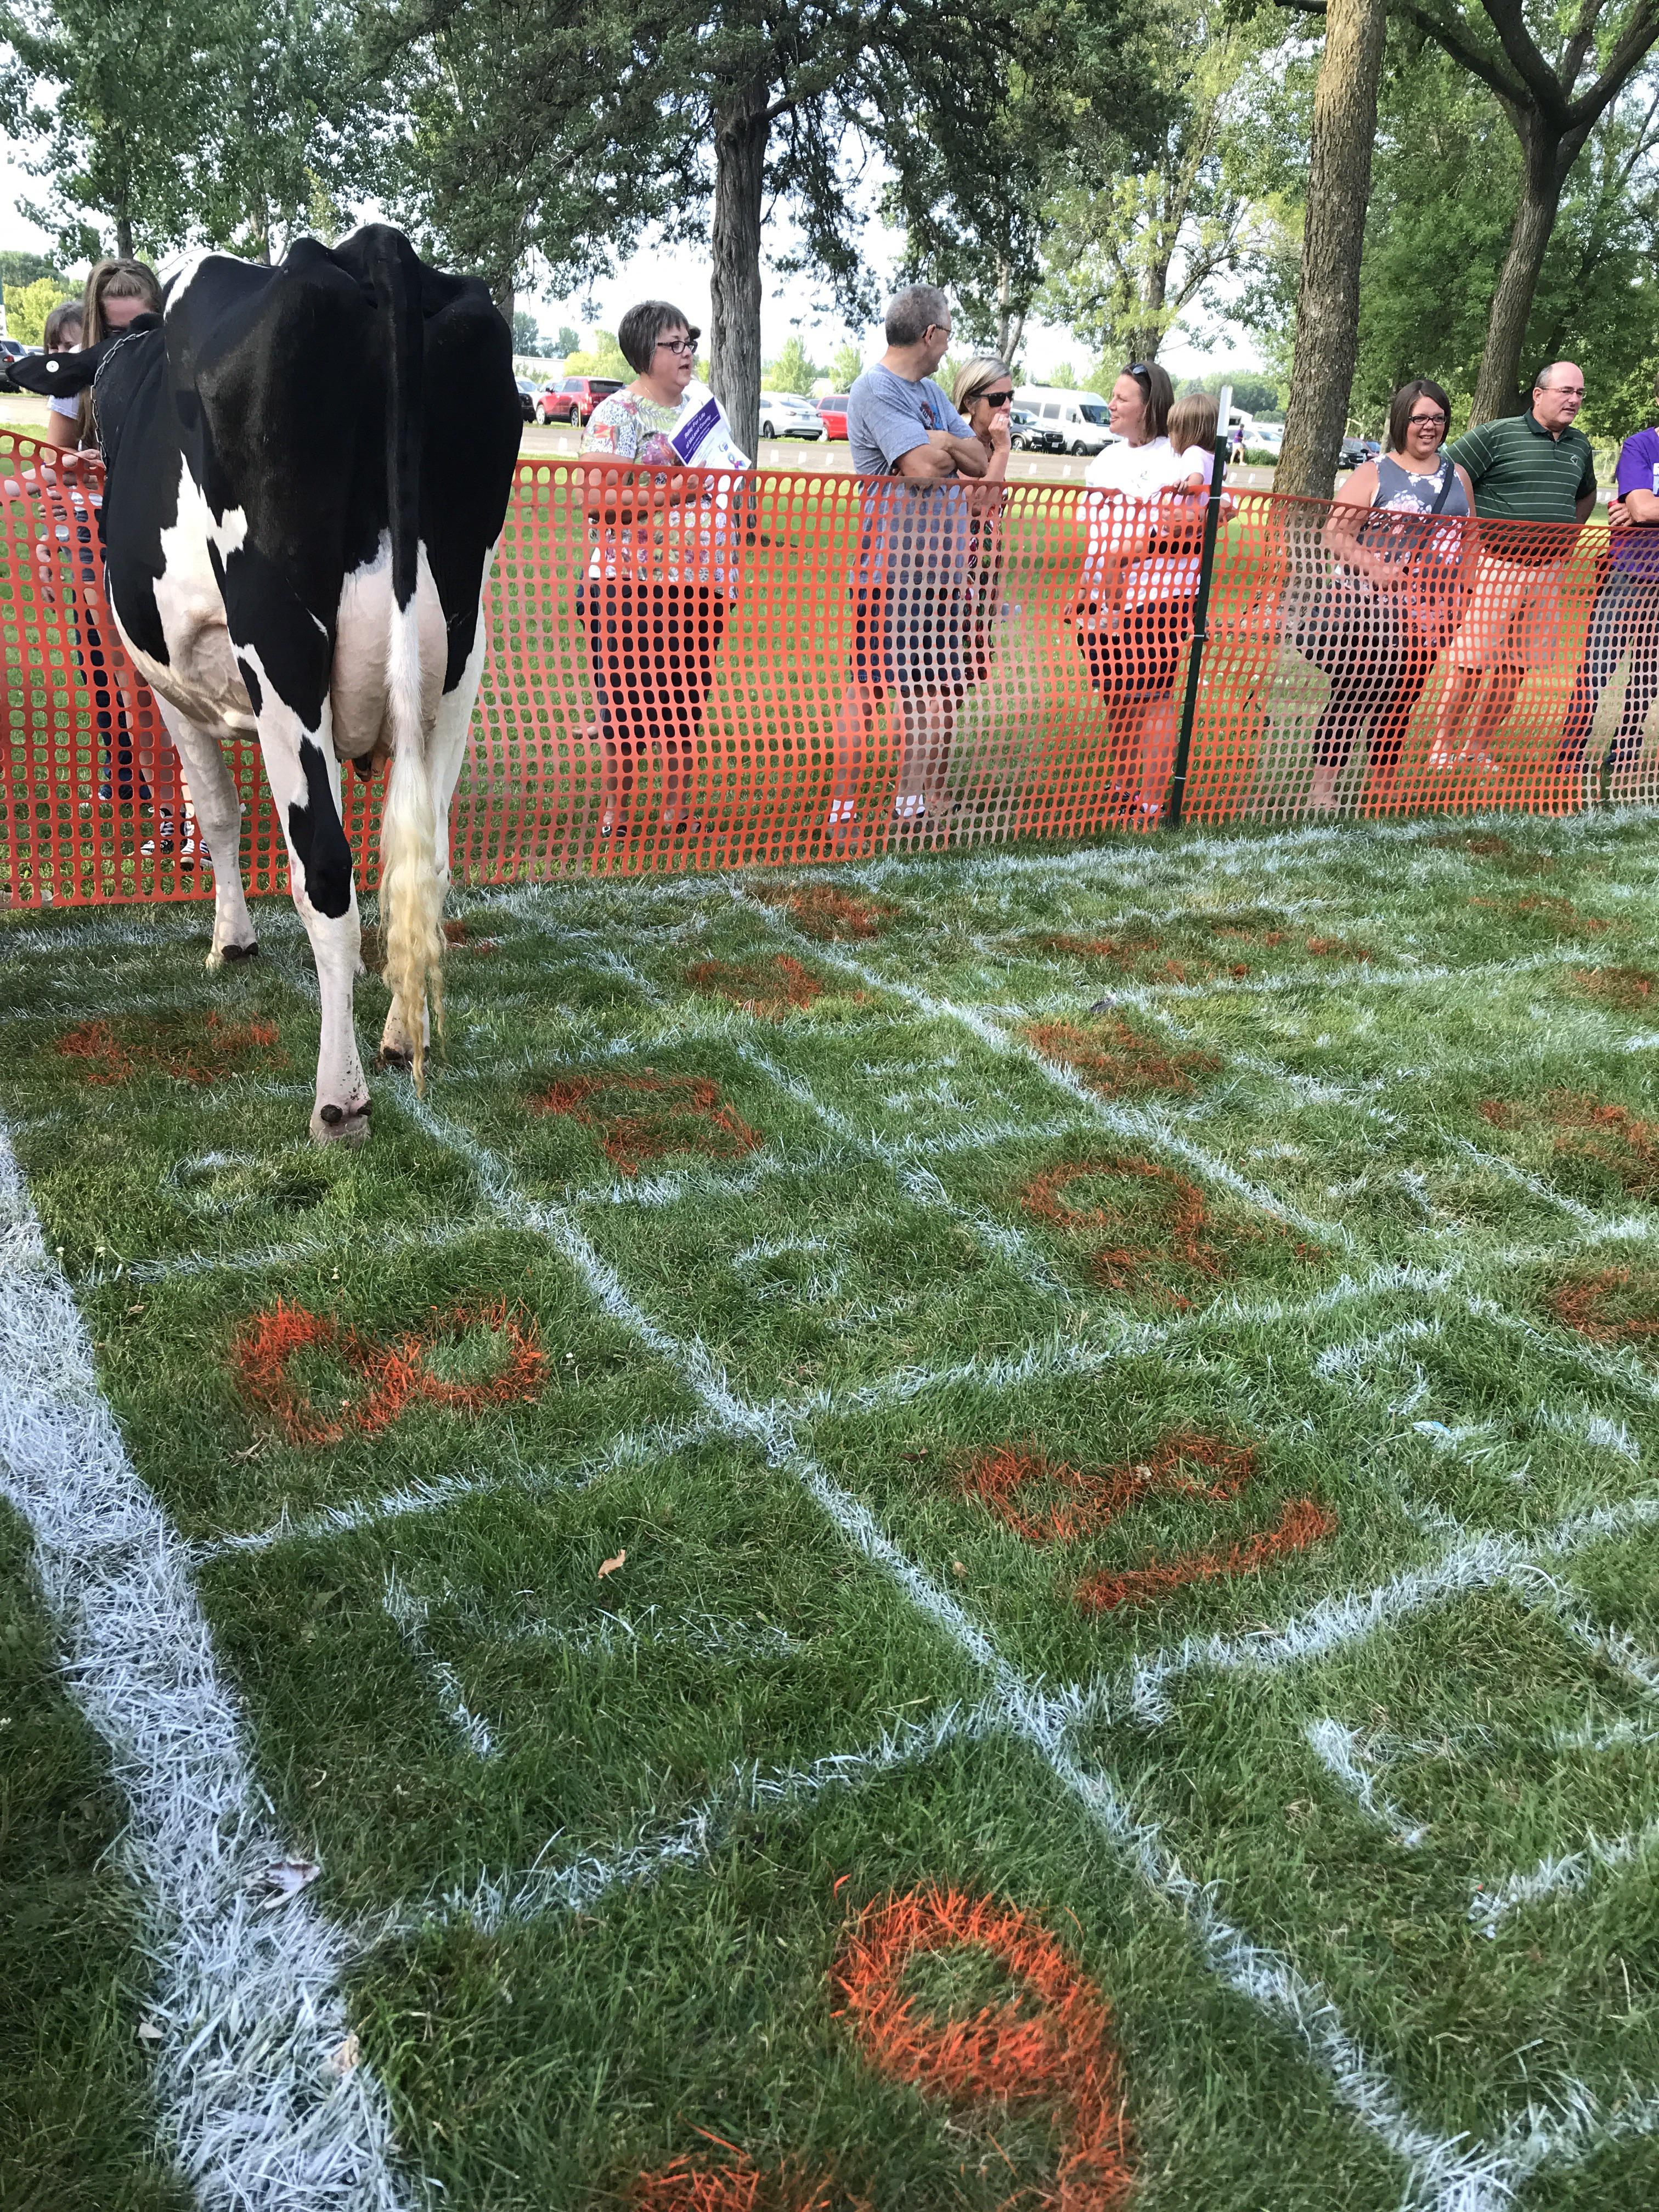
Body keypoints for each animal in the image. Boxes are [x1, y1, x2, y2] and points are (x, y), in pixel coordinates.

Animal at [9, 229, 520, 1141]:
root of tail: (370, 249)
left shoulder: (175, 690)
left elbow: (216, 811)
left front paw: (231, 941)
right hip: (459, 657)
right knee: (422, 864)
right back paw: (402, 1038)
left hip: (280, 643)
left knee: (325, 874)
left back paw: (339, 1099)